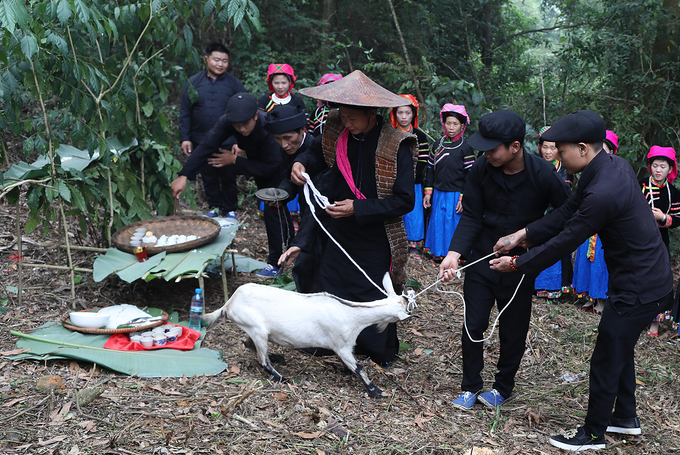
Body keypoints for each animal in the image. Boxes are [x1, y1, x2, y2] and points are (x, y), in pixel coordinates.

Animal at [202, 272, 414, 398]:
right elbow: (360, 368)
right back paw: (281, 377)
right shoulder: (341, 346)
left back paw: (277, 357)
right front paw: (375, 391)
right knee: (262, 361)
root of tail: (229, 304)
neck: (352, 314)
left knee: (248, 344)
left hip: (254, 329)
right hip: (257, 329)